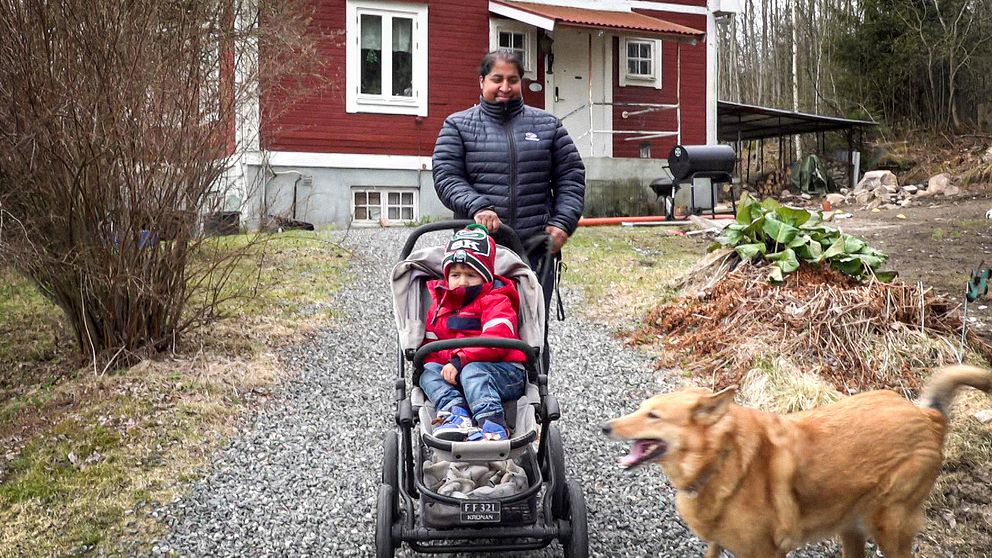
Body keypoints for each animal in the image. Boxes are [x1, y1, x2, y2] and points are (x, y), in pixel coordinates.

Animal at [600, 366, 992, 556]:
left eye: (653, 416)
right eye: (641, 408)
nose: (604, 426)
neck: (719, 460)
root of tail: (928, 416)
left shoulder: (764, 554)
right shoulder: (718, 545)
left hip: (888, 527)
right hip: (851, 525)